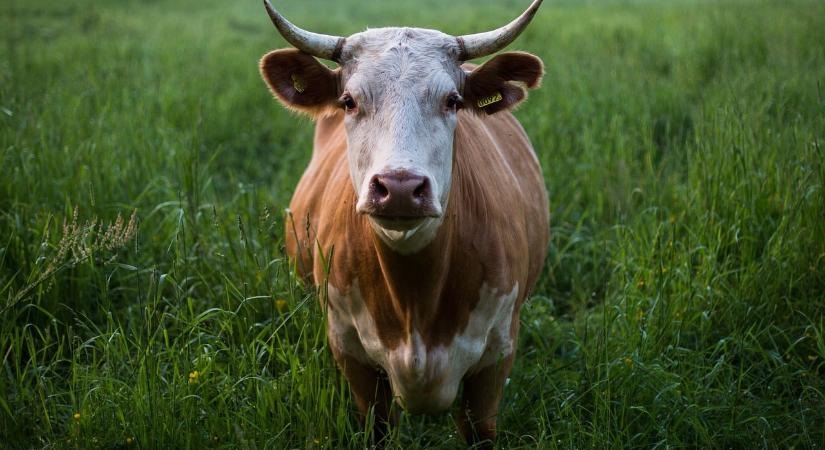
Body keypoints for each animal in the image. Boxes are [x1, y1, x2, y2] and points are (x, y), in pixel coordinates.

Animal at [260, 0, 548, 442]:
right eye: (349, 101)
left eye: (452, 100)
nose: (398, 187)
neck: (415, 300)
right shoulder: (350, 353)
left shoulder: (497, 357)